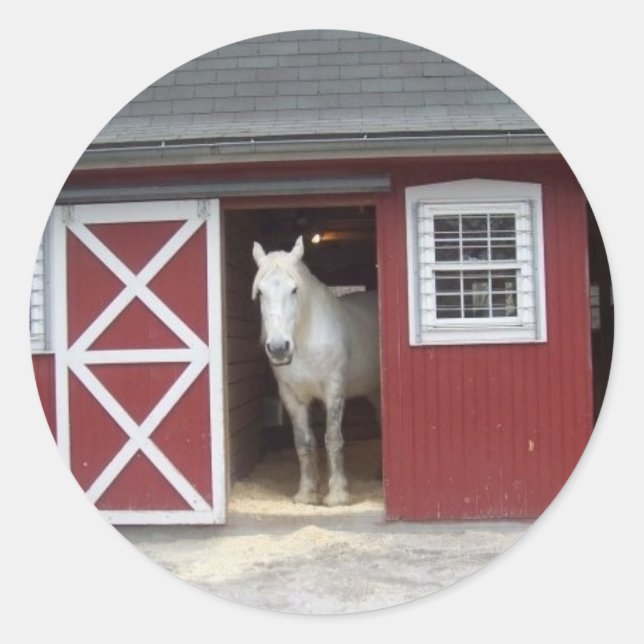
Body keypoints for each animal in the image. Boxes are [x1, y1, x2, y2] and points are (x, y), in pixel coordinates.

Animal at [251, 236, 380, 506]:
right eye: (260, 292)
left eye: (294, 289)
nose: (278, 348)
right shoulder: (292, 397)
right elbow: (304, 442)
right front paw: (307, 492)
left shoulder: (334, 392)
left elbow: (332, 439)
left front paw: (338, 494)